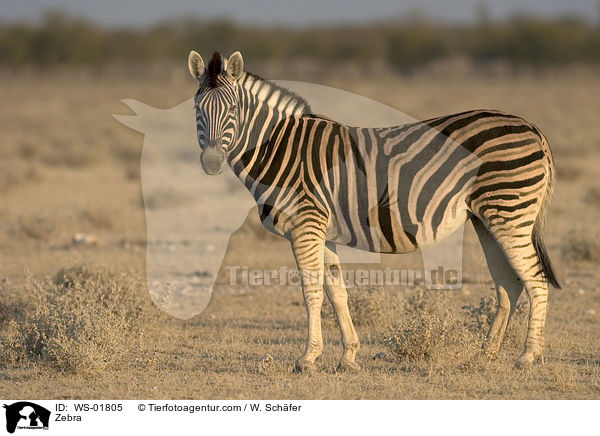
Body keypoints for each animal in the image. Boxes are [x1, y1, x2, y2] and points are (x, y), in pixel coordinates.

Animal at [189, 50, 564, 372]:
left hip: (510, 212)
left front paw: (307, 359)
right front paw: (348, 357)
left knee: (535, 279)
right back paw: (484, 356)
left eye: (233, 110)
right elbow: (337, 293)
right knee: (508, 284)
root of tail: (532, 127)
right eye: (197, 110)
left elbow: (312, 293)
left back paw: (528, 356)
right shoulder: (322, 232)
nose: (211, 163)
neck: (280, 148)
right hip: (487, 218)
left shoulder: (305, 226)